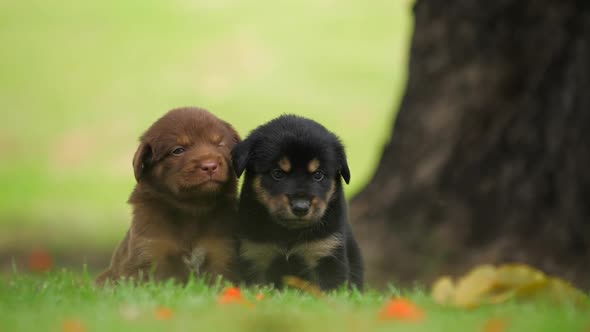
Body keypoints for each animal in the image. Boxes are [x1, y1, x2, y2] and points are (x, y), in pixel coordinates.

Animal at [97, 106, 243, 286]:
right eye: (178, 150)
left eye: (220, 145)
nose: (210, 166)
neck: (192, 208)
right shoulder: (149, 249)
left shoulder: (222, 250)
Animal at [232, 114, 364, 290]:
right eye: (277, 173)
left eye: (318, 175)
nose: (300, 208)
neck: (289, 233)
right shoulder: (255, 255)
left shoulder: (325, 252)